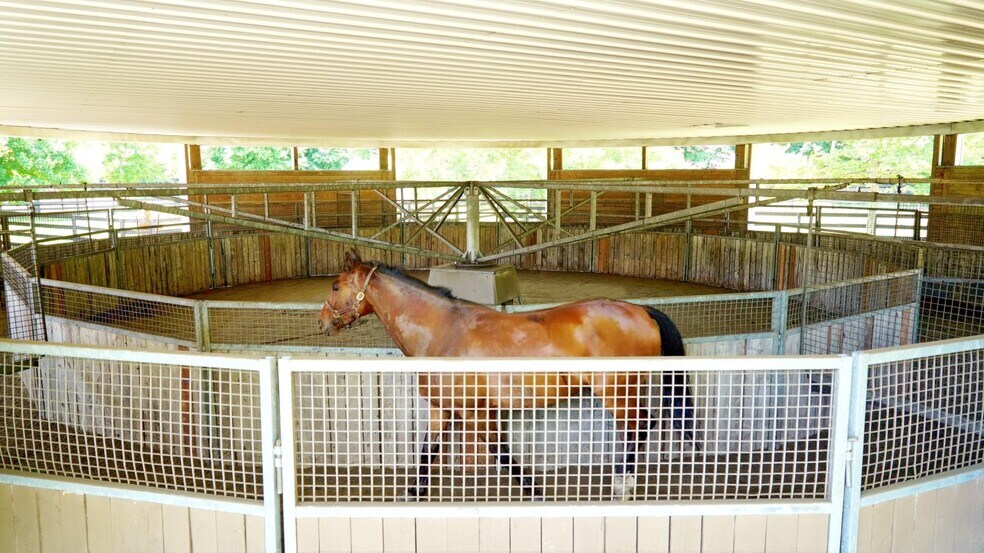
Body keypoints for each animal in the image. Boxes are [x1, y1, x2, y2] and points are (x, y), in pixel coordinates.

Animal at [318, 249, 696, 500]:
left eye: (335, 286)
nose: (322, 323)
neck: (444, 330)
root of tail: (641, 311)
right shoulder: (442, 409)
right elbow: (427, 452)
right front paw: (414, 493)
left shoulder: (477, 413)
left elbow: (501, 454)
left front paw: (535, 491)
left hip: (617, 392)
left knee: (639, 425)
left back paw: (623, 483)